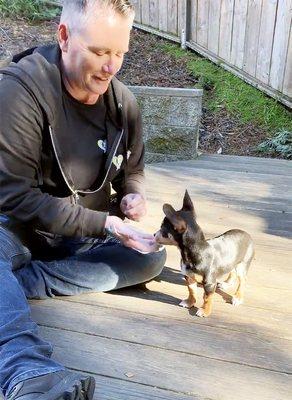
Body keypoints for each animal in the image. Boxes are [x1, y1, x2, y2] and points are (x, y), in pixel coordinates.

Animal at [155, 189, 253, 318]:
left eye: (163, 230)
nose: (153, 235)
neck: (196, 251)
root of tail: (247, 234)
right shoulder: (189, 277)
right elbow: (191, 291)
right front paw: (190, 302)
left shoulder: (209, 284)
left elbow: (207, 298)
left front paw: (205, 311)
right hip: (233, 260)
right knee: (232, 271)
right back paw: (227, 284)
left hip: (242, 265)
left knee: (242, 280)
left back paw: (238, 297)